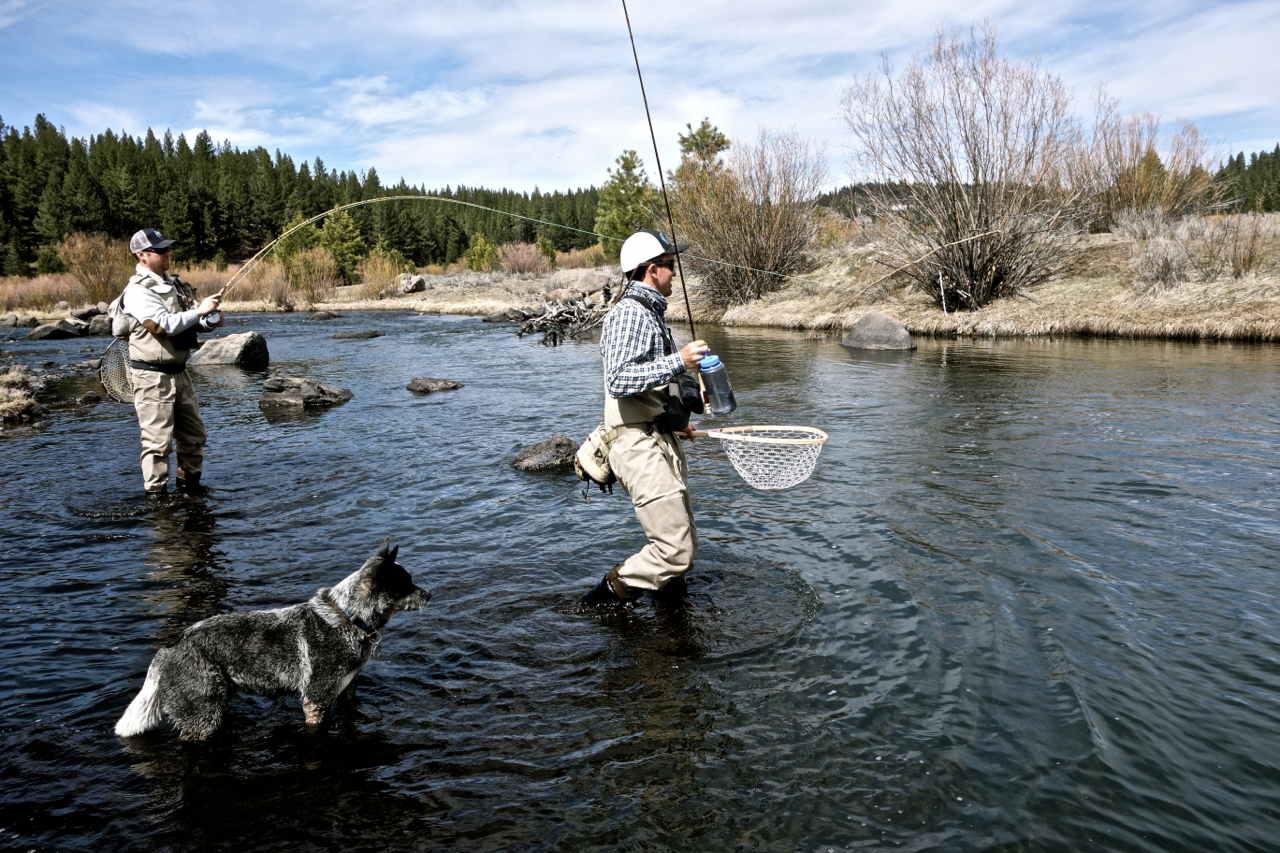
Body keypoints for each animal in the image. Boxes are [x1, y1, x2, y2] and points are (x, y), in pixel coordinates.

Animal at [113, 545, 430, 737]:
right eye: (406, 583)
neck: (349, 617)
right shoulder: (316, 700)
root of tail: (170, 648)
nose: (430, 594)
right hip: (204, 715)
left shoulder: (348, 690)